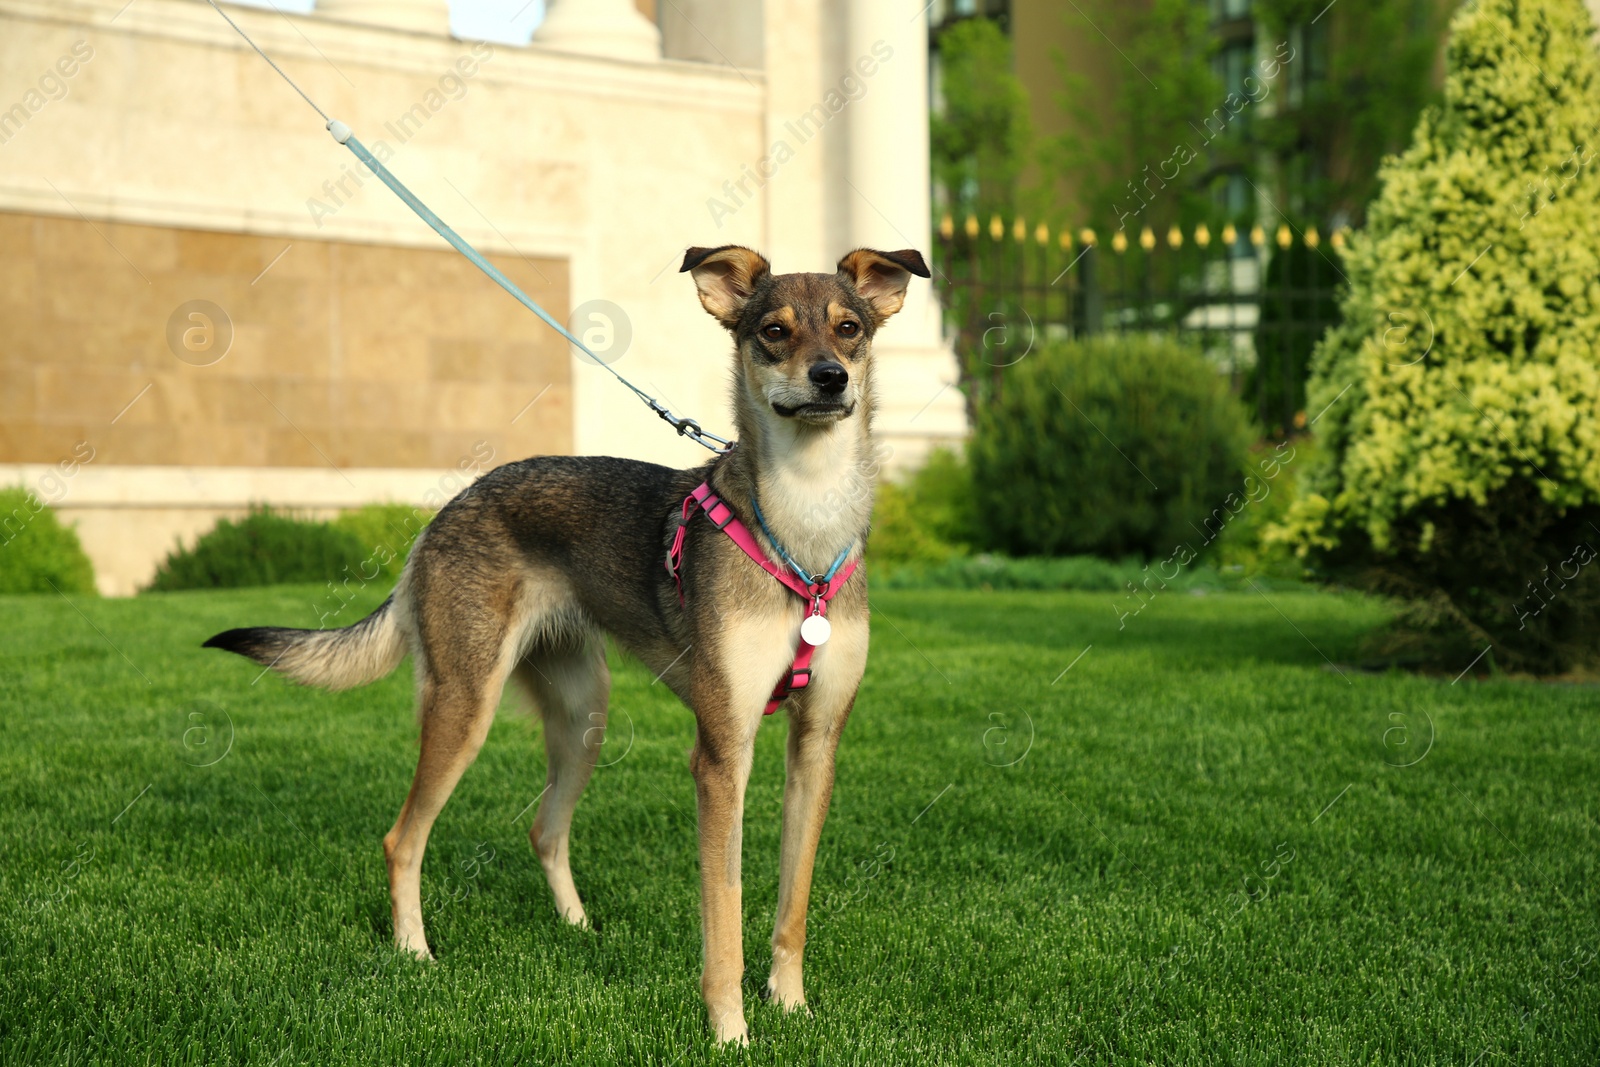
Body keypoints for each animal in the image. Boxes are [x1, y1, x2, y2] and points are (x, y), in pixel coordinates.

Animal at [206, 241, 934, 1043]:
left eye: (849, 328)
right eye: (774, 331)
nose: (830, 378)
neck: (803, 528)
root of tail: (445, 511)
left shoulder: (817, 743)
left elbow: (791, 905)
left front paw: (792, 1005)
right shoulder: (721, 754)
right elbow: (725, 919)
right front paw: (731, 1032)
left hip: (585, 715)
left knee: (544, 830)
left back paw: (577, 929)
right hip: (465, 706)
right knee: (404, 839)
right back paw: (415, 953)